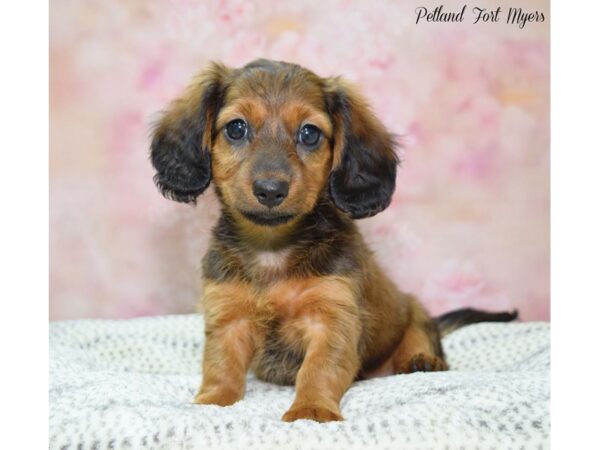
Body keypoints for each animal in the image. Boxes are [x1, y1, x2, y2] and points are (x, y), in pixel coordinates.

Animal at [149, 59, 516, 422]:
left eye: (309, 133)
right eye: (236, 128)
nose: (270, 190)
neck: (273, 247)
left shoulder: (332, 319)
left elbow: (319, 368)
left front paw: (311, 409)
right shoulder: (228, 316)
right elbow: (221, 365)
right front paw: (212, 402)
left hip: (414, 315)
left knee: (418, 338)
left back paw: (422, 360)